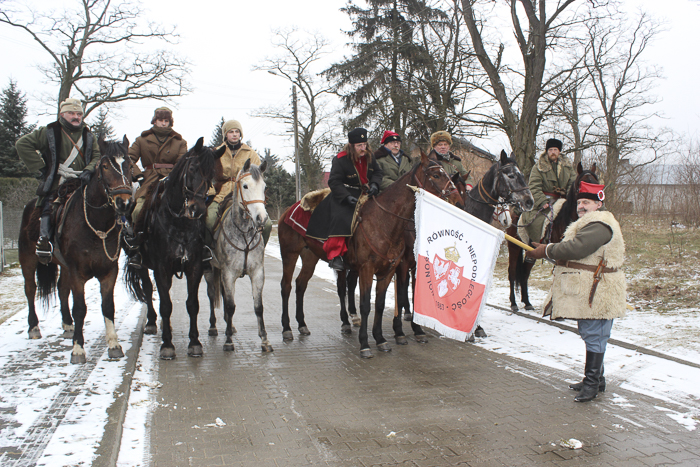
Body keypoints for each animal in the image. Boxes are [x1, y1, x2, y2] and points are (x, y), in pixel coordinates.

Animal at [18, 136, 133, 363]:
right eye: (105, 166)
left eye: (130, 165)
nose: (124, 202)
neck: (96, 224)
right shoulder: (77, 272)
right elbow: (80, 308)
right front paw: (78, 349)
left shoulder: (109, 271)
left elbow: (108, 306)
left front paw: (114, 345)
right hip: (28, 259)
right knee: (30, 289)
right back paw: (34, 327)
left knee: (62, 289)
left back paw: (67, 324)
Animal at [125, 138, 225, 359]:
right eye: (193, 168)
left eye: (212, 175)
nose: (198, 209)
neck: (180, 223)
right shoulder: (162, 268)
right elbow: (166, 305)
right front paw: (167, 345)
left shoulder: (194, 267)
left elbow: (192, 304)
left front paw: (194, 342)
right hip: (142, 265)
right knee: (148, 289)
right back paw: (152, 323)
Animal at [203, 158, 271, 352]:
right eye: (245, 186)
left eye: (264, 187)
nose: (261, 218)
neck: (244, 233)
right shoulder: (228, 274)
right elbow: (230, 305)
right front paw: (228, 342)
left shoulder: (257, 273)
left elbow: (258, 307)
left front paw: (265, 340)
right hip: (209, 270)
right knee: (212, 295)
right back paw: (214, 327)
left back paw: (230, 326)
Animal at [278, 152, 464, 358]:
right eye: (436, 175)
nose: (456, 200)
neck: (385, 222)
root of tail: (289, 210)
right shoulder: (371, 270)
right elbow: (368, 304)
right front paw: (367, 343)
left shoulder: (390, 270)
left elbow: (381, 304)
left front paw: (382, 338)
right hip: (290, 255)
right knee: (287, 286)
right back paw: (288, 329)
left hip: (311, 257)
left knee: (301, 285)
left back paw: (303, 324)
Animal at [506, 162, 598, 311]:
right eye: (582, 185)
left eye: (596, 182)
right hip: (514, 247)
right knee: (513, 272)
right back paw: (514, 303)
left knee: (525, 273)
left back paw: (527, 302)